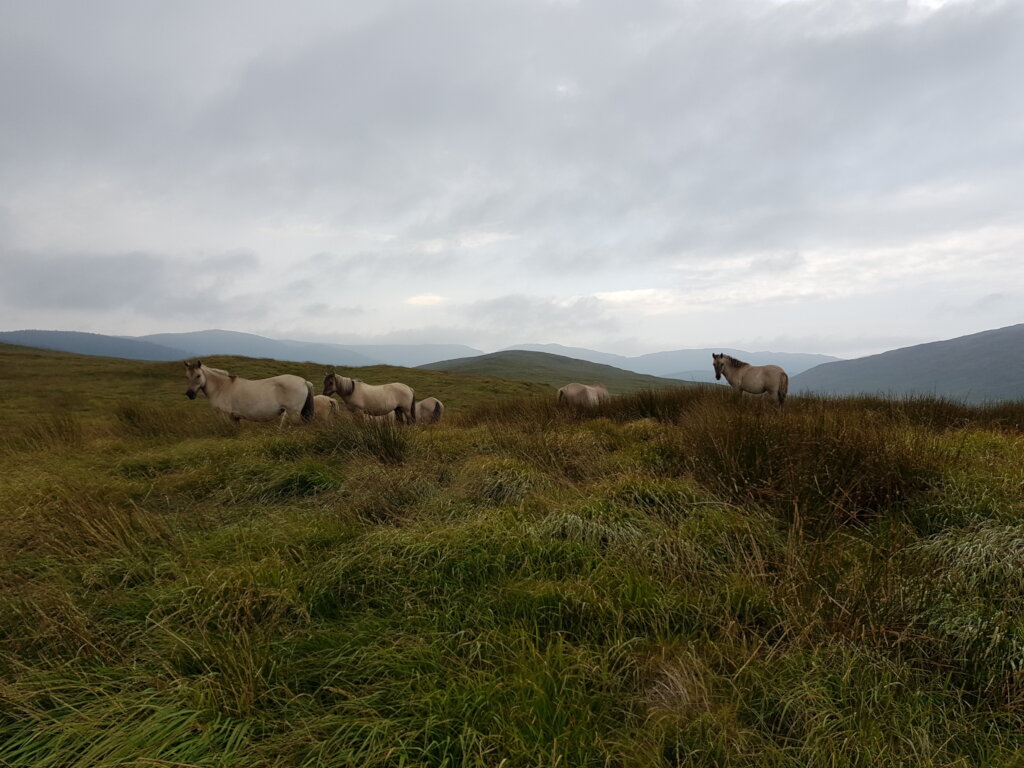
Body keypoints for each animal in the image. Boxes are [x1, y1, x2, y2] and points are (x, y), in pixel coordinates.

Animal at [184, 361, 314, 426]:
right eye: (187, 376)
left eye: (198, 375)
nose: (190, 394)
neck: (221, 387)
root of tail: (304, 381)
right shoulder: (234, 418)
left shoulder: (225, 416)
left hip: (293, 414)